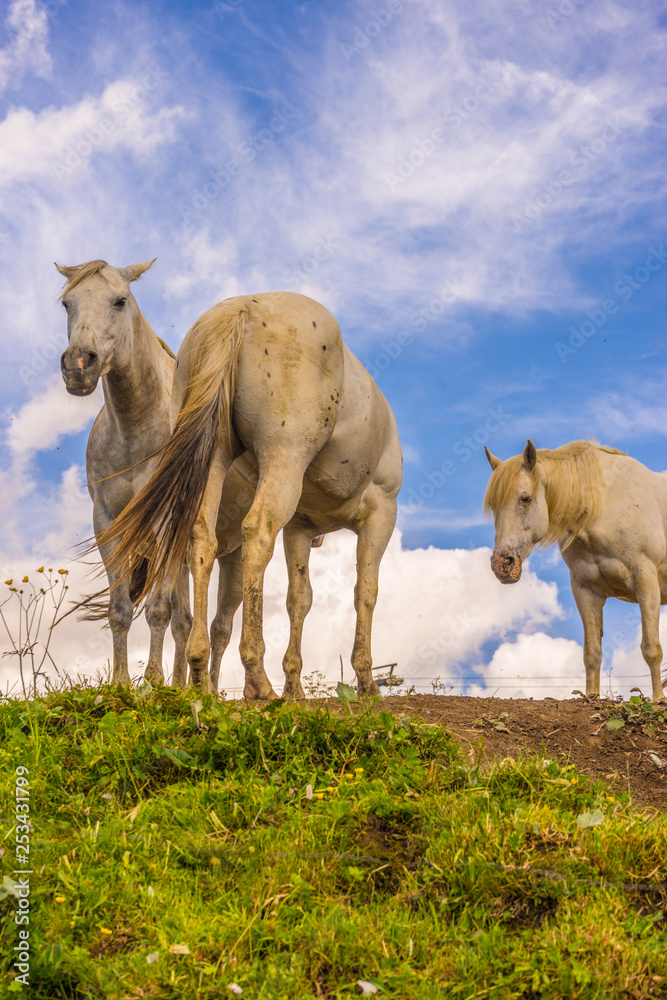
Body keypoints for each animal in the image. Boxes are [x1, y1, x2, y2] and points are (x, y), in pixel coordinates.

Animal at [57, 259, 192, 685]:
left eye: (119, 300)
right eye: (67, 303)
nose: (78, 365)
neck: (136, 429)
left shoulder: (165, 518)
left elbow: (158, 610)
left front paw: (152, 684)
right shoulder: (107, 522)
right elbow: (120, 611)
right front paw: (120, 685)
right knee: (186, 621)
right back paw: (184, 687)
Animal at [97, 291, 403, 699]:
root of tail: (240, 309)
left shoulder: (299, 528)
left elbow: (299, 598)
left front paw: (294, 685)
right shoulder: (381, 514)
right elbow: (365, 592)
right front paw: (366, 680)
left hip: (213, 456)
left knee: (200, 538)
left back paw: (199, 669)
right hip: (282, 459)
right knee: (257, 533)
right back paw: (257, 677)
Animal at [484, 439, 667, 702]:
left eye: (525, 498)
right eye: (493, 506)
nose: (502, 564)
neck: (604, 507)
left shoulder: (646, 582)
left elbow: (651, 648)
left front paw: (658, 700)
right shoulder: (585, 591)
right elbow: (592, 653)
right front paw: (591, 698)